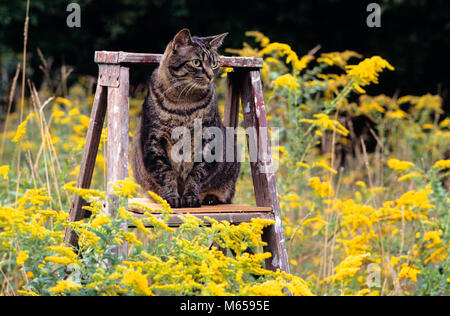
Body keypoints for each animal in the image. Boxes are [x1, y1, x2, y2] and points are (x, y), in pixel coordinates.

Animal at [132, 28, 241, 209]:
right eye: (196, 63)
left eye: (214, 64)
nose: (211, 76)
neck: (184, 103)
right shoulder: (154, 140)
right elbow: (166, 173)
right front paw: (171, 198)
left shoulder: (208, 139)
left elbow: (197, 173)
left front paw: (190, 197)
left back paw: (210, 198)